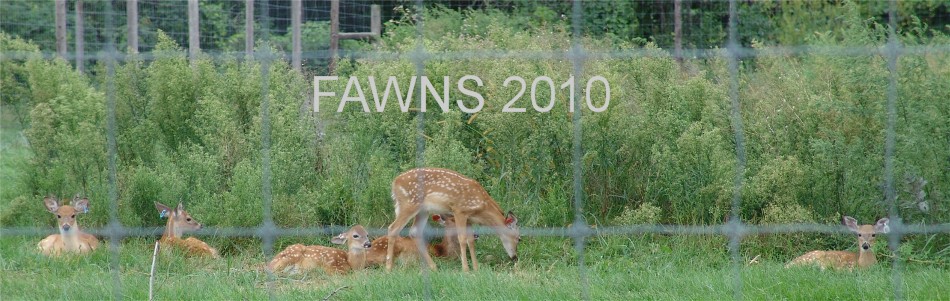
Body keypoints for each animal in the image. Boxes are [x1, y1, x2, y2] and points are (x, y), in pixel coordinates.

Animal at [384, 168, 524, 270]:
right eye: (519, 238)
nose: (515, 257)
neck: (482, 208)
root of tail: (394, 183)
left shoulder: (469, 219)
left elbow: (470, 240)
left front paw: (476, 269)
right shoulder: (459, 210)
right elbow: (462, 239)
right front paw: (466, 270)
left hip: (423, 210)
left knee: (414, 231)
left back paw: (434, 267)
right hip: (409, 204)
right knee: (393, 228)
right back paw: (388, 268)